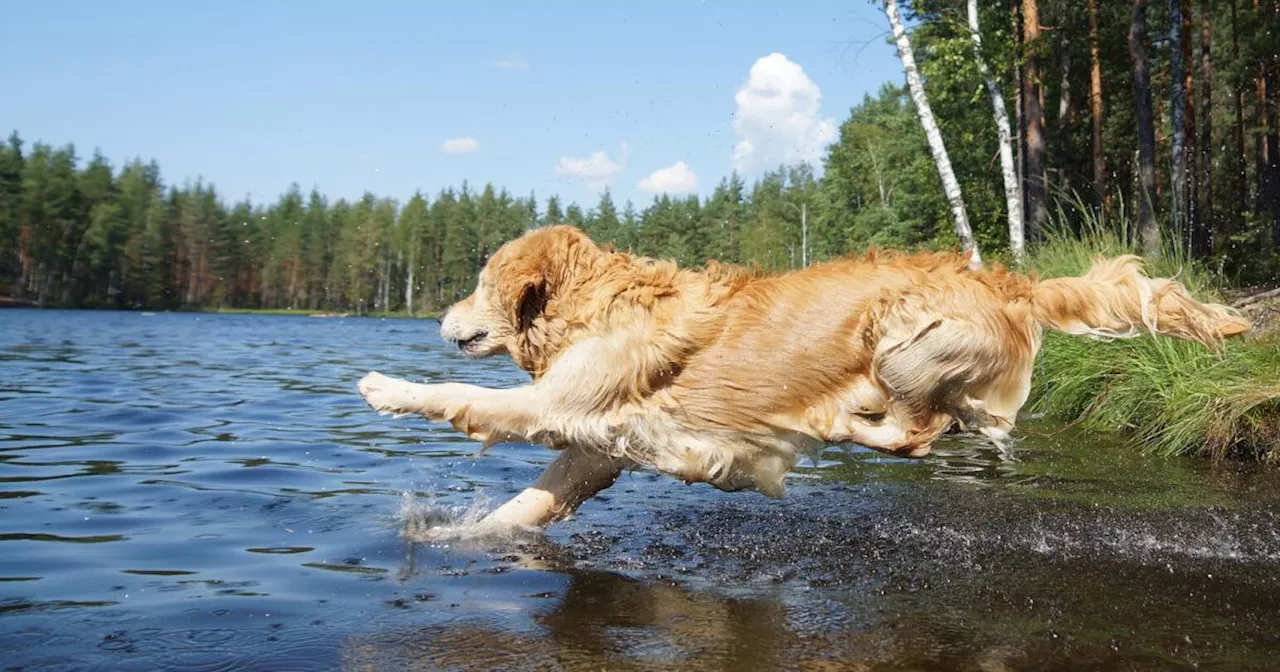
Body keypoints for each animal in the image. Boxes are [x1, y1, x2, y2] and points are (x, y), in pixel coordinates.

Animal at [358, 225, 1249, 529]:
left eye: (479, 282)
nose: (440, 319)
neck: (596, 304)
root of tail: (1013, 282)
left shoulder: (558, 405)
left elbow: (463, 398)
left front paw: (386, 388)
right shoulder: (599, 447)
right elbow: (528, 506)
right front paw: (454, 540)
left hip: (900, 340)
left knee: (919, 432)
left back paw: (837, 424)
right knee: (940, 426)